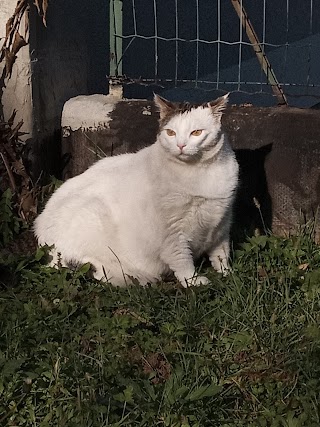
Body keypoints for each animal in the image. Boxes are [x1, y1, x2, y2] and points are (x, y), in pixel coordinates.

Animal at [33, 93, 239, 288]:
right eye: (170, 132)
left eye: (196, 132)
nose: (180, 145)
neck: (199, 173)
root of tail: (40, 229)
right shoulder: (172, 234)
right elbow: (182, 261)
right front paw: (193, 281)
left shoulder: (223, 223)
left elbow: (221, 253)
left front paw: (228, 274)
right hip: (92, 214)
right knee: (94, 268)